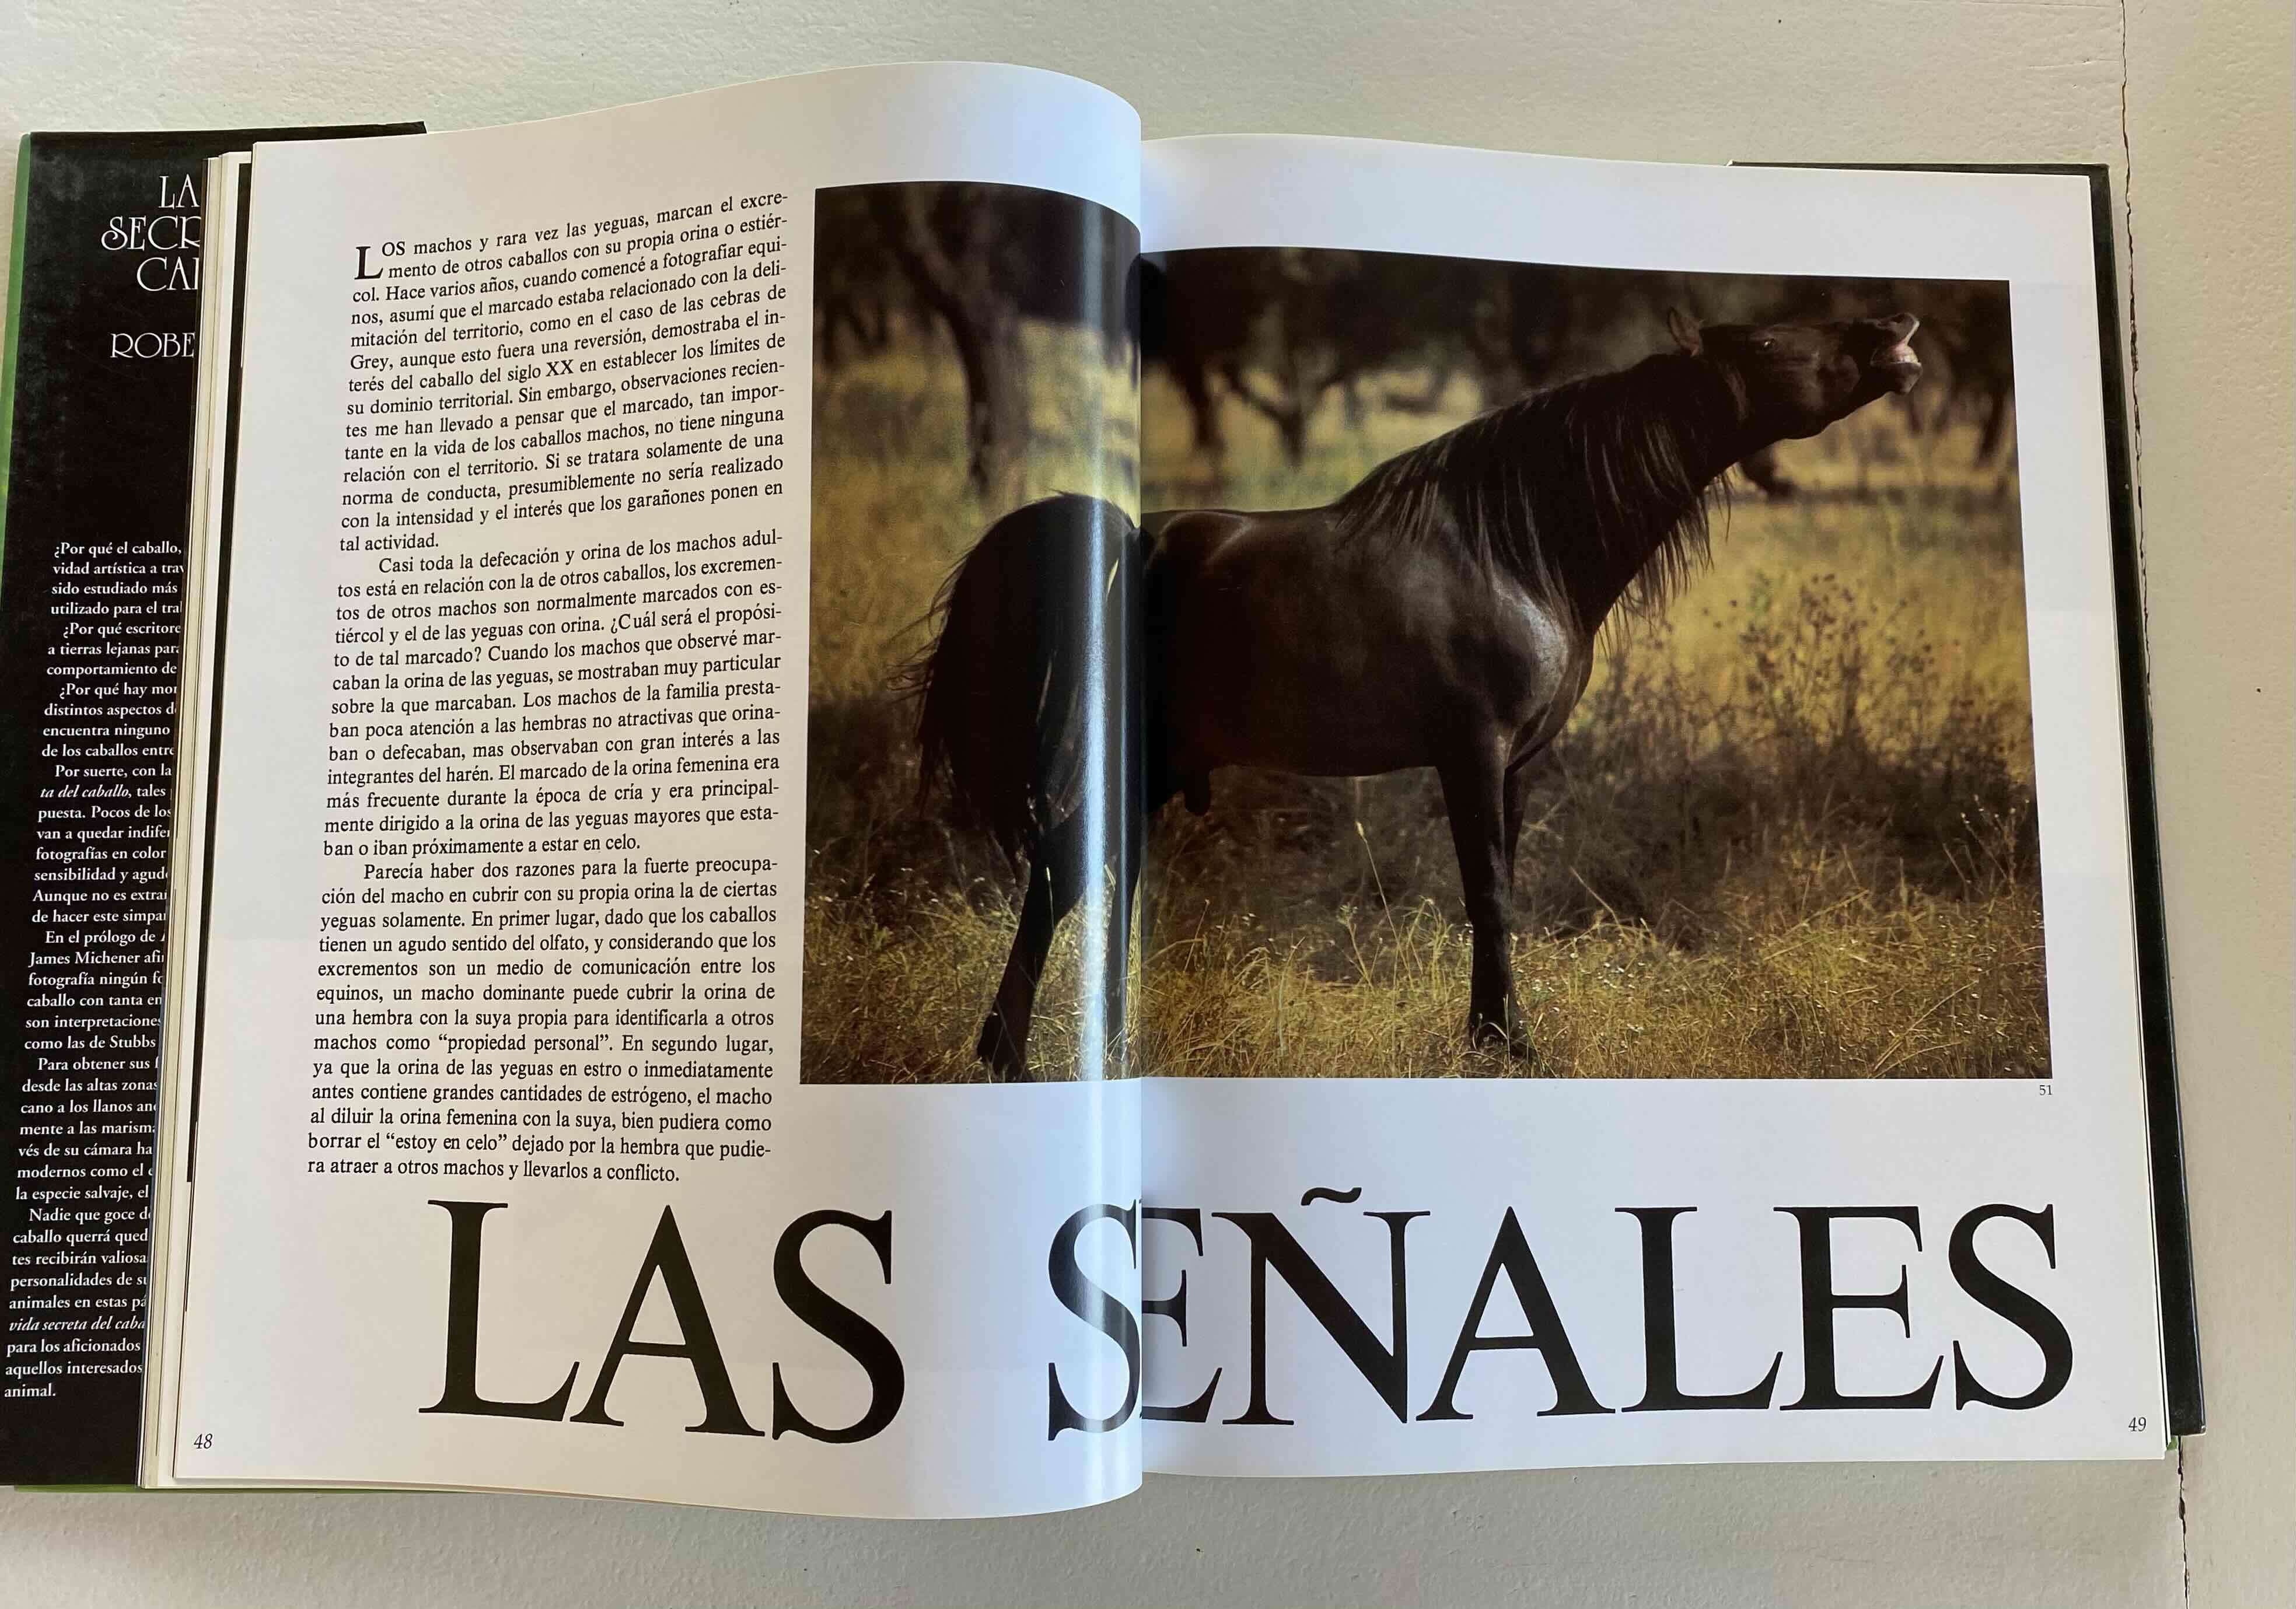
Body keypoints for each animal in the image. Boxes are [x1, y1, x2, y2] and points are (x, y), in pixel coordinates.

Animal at [908, 309, 1922, 1079]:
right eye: (1767, 342)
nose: (1895, 332)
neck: (1513, 549)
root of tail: (1111, 545)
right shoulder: (1469, 752)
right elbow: (1489, 894)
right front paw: (1506, 1044)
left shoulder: (1516, 764)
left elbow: (1499, 889)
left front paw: (1494, 1036)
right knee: (1060, 874)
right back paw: (1016, 1056)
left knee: (1081, 878)